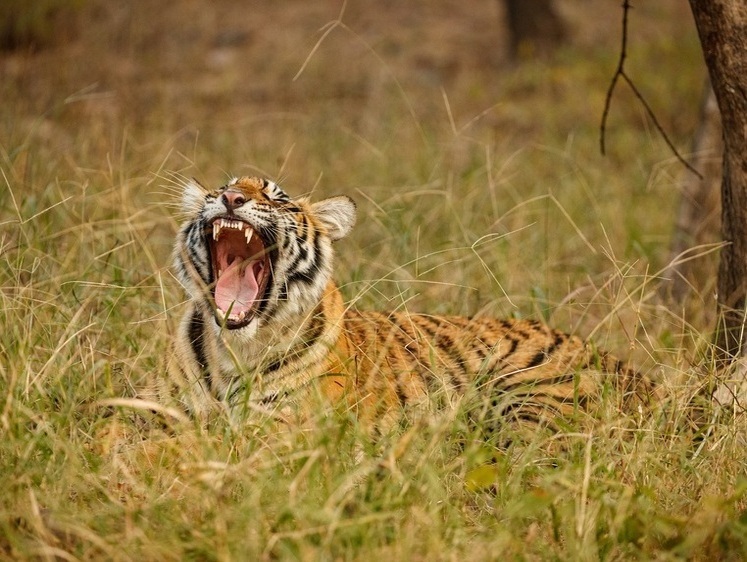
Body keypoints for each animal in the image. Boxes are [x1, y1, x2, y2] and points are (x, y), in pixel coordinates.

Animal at [156, 175, 656, 434]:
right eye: (220, 188)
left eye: (275, 197)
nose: (231, 197)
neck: (235, 347)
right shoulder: (163, 416)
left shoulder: (287, 428)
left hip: (529, 394)